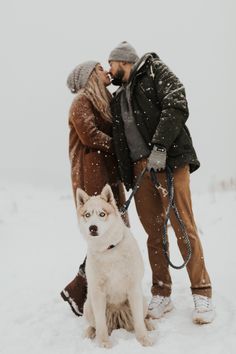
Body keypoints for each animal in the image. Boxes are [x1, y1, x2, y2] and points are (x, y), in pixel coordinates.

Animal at [76, 185, 155, 348]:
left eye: (102, 214)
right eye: (87, 215)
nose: (93, 228)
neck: (109, 250)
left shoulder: (133, 288)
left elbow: (138, 321)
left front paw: (143, 339)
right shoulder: (98, 292)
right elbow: (101, 324)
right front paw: (104, 342)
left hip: (142, 300)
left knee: (141, 318)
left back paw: (149, 325)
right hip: (88, 306)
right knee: (95, 325)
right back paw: (89, 332)